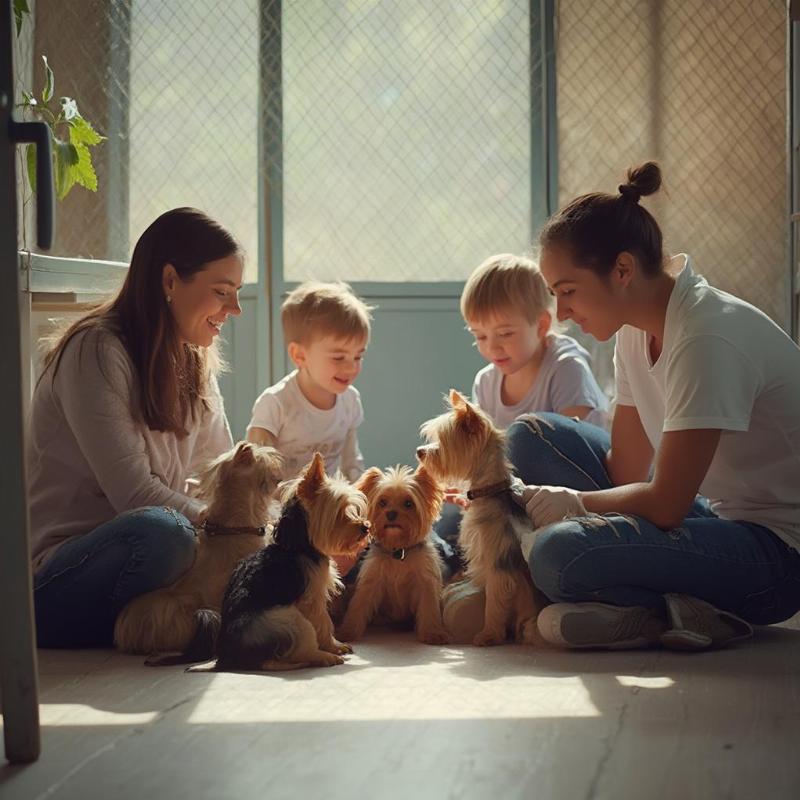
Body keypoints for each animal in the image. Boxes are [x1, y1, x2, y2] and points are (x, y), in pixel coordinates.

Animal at [338, 466, 450, 648]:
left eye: (409, 504)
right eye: (382, 502)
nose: (390, 514)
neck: (398, 551)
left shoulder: (425, 584)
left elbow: (429, 608)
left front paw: (433, 633)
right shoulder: (371, 583)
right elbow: (358, 607)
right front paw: (347, 632)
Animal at [416, 390, 540, 648]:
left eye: (442, 444)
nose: (419, 452)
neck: (490, 491)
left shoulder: (499, 568)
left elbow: (494, 603)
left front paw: (489, 634)